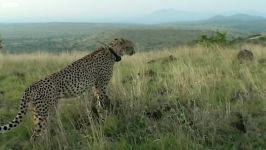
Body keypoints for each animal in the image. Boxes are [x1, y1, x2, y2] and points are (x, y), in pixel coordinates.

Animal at [0, 38, 135, 140]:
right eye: (130, 45)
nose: (134, 51)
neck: (112, 52)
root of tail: (31, 86)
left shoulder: (96, 87)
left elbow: (97, 104)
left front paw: (101, 120)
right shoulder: (101, 86)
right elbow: (102, 104)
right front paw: (105, 119)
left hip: (41, 111)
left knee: (42, 132)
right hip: (43, 113)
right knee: (35, 135)